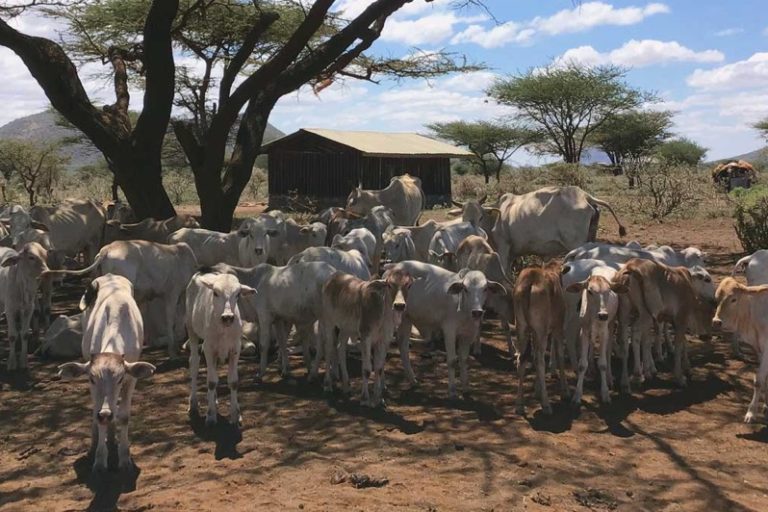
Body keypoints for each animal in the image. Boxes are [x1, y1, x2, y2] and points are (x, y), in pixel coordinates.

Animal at [56, 276, 156, 472]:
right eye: (92, 378)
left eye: (120, 379)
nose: (105, 414)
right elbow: (98, 415)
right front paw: (100, 459)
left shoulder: (131, 379)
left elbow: (123, 416)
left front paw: (124, 458)